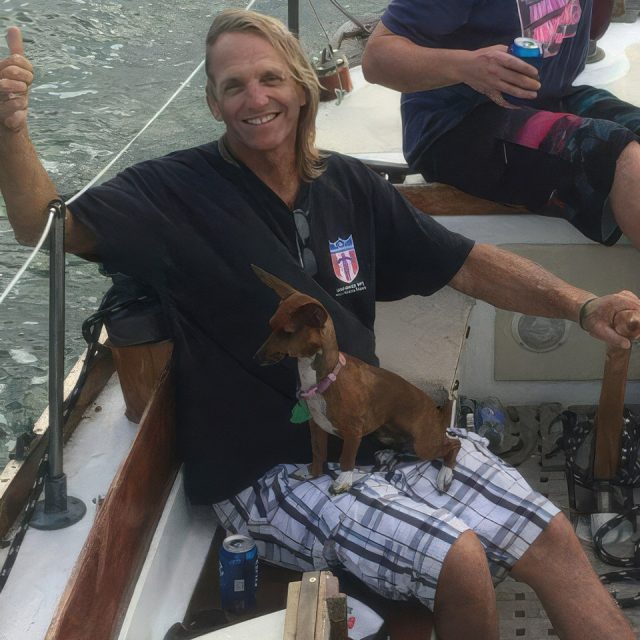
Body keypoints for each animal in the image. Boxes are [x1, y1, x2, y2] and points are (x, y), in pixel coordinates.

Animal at [252, 264, 458, 496]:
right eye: (270, 325)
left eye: (287, 332)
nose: (255, 358)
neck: (325, 380)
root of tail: (437, 413)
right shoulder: (316, 427)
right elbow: (318, 452)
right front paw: (313, 473)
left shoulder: (353, 434)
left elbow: (346, 459)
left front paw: (343, 480)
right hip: (388, 435)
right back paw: (388, 454)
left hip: (424, 444)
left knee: (454, 444)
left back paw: (445, 474)